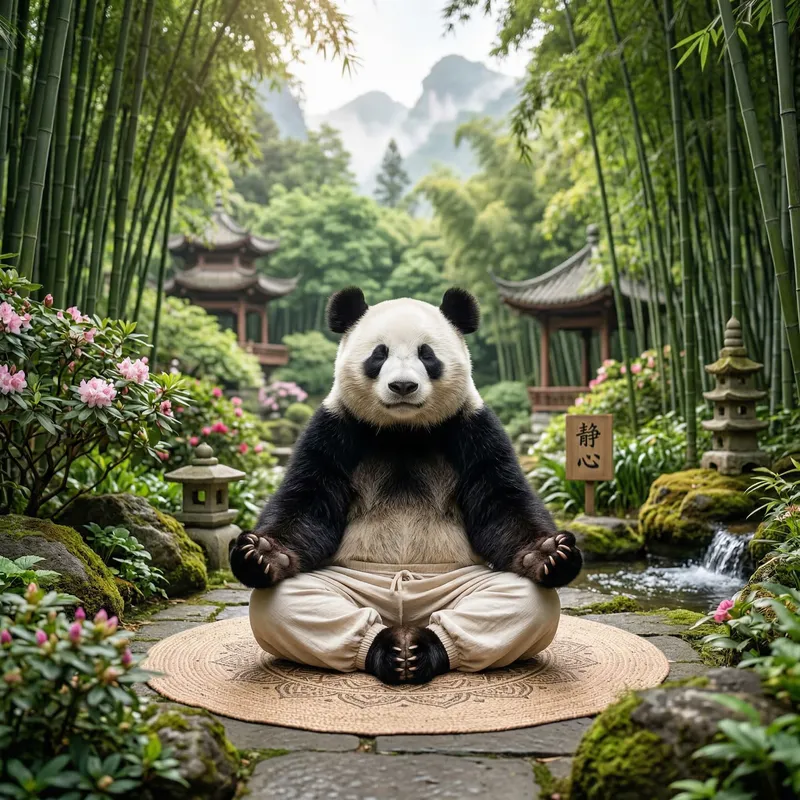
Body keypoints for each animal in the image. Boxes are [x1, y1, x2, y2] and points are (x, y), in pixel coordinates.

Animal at [231, 287, 582, 685]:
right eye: (379, 354)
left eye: (426, 355)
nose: (402, 386)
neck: (403, 430)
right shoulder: (335, 428)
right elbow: (308, 502)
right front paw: (262, 555)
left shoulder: (472, 428)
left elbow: (501, 503)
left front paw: (550, 554)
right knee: (292, 601)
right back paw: (390, 649)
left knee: (517, 600)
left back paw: (419, 649)